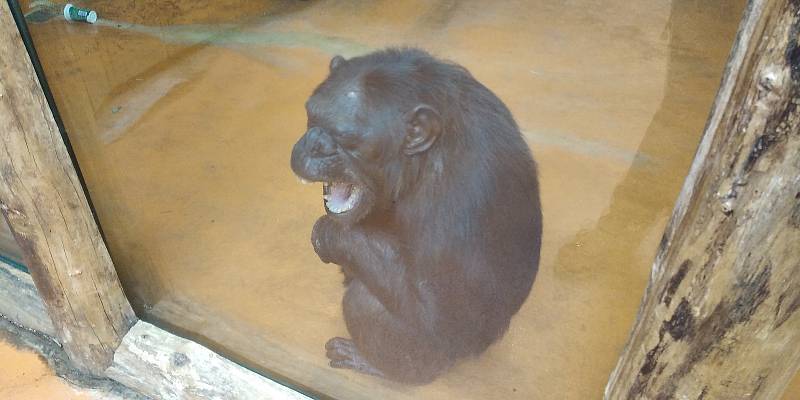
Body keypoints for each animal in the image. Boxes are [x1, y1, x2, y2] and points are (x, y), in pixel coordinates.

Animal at [290, 47, 540, 384]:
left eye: (345, 138)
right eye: (311, 117)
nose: (311, 144)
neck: (422, 159)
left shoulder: (457, 201)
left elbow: (438, 313)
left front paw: (330, 235)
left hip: (442, 357)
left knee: (365, 303)